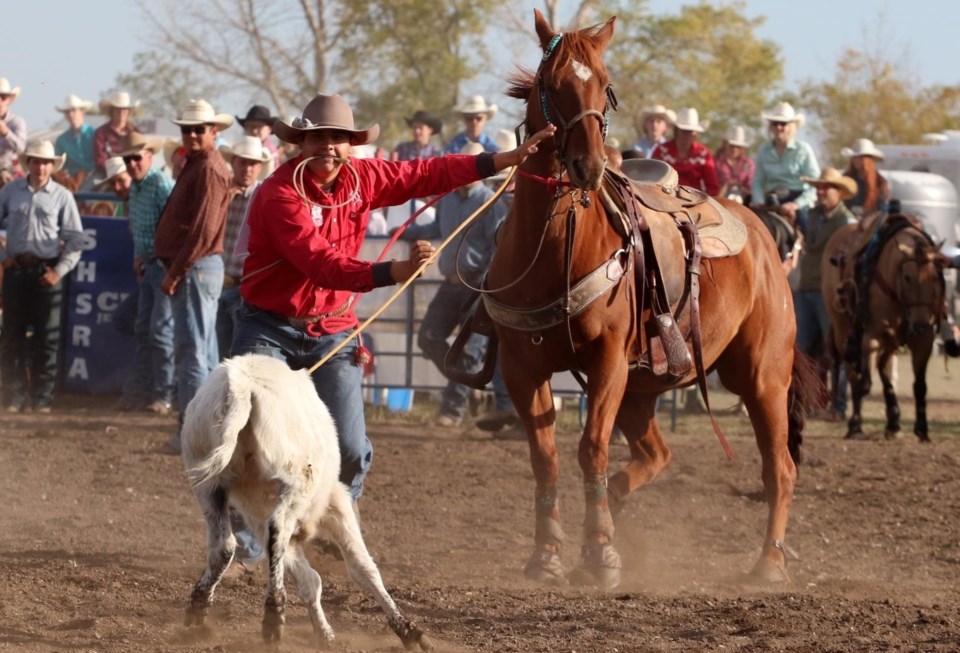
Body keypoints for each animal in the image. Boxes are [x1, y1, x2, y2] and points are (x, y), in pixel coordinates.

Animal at [182, 354, 430, 648]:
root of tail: (241, 386)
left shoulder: (258, 515)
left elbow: (308, 579)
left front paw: (324, 634)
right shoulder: (336, 504)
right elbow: (362, 567)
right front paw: (407, 630)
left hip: (210, 485)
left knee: (226, 545)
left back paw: (199, 605)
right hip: (296, 482)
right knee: (276, 531)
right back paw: (274, 610)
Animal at [484, 11, 812, 592]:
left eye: (605, 84)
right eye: (551, 83)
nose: (587, 165)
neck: (554, 247)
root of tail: (762, 229)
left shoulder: (608, 360)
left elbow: (590, 447)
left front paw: (599, 554)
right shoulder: (522, 366)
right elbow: (546, 459)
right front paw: (548, 554)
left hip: (761, 377)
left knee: (780, 468)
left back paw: (768, 564)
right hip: (645, 386)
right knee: (657, 454)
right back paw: (617, 511)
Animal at [820, 216, 948, 440]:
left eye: (935, 277)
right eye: (907, 277)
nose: (921, 325)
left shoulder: (923, 340)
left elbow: (920, 385)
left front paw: (922, 428)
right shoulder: (873, 335)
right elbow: (864, 382)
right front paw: (856, 422)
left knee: (884, 369)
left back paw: (893, 422)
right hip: (842, 328)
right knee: (853, 372)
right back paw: (858, 425)